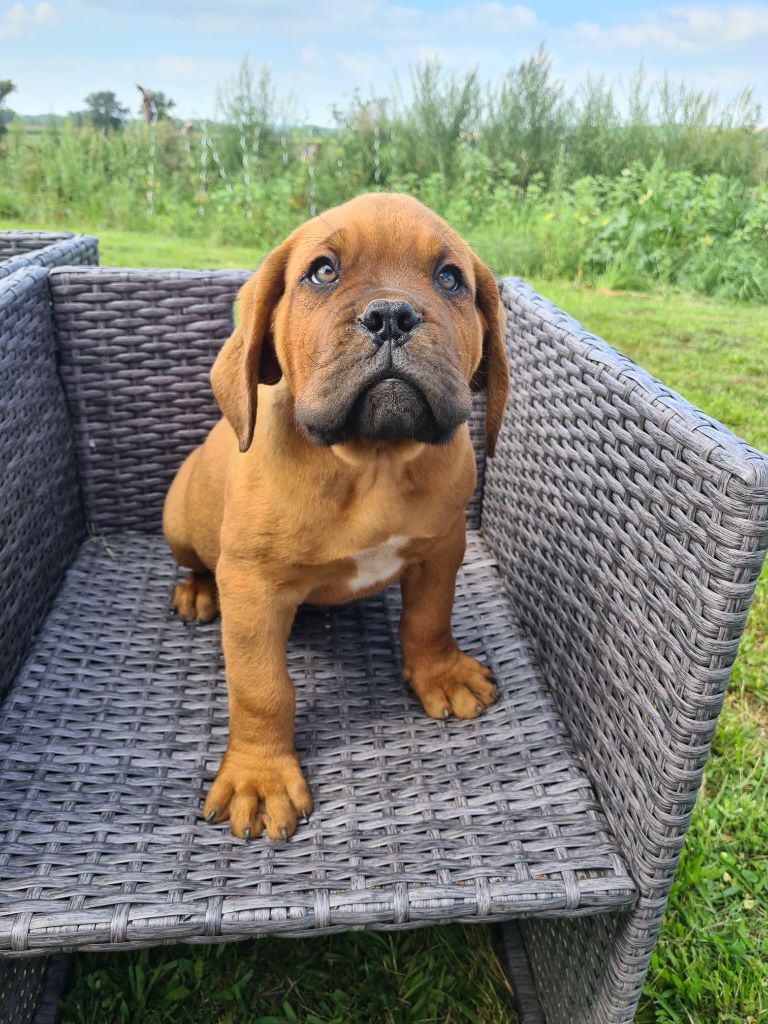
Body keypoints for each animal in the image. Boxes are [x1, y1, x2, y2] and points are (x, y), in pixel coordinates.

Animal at [162, 192, 509, 841]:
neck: (372, 461)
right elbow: (261, 688)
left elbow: (429, 620)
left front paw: (440, 674)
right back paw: (197, 591)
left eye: (450, 279)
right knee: (198, 562)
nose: (392, 315)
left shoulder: (442, 548)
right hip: (181, 520)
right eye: (322, 271)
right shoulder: (252, 588)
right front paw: (260, 777)